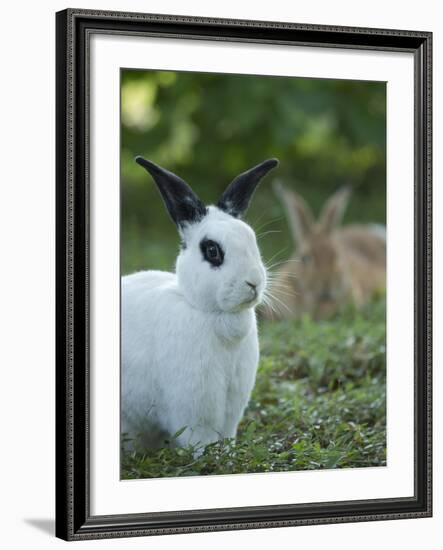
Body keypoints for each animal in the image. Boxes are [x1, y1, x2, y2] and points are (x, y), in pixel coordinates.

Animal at [121, 155, 280, 452]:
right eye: (212, 250)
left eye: (252, 240)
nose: (253, 282)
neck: (214, 315)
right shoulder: (194, 404)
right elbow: (200, 438)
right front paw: (210, 455)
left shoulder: (232, 404)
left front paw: (227, 452)